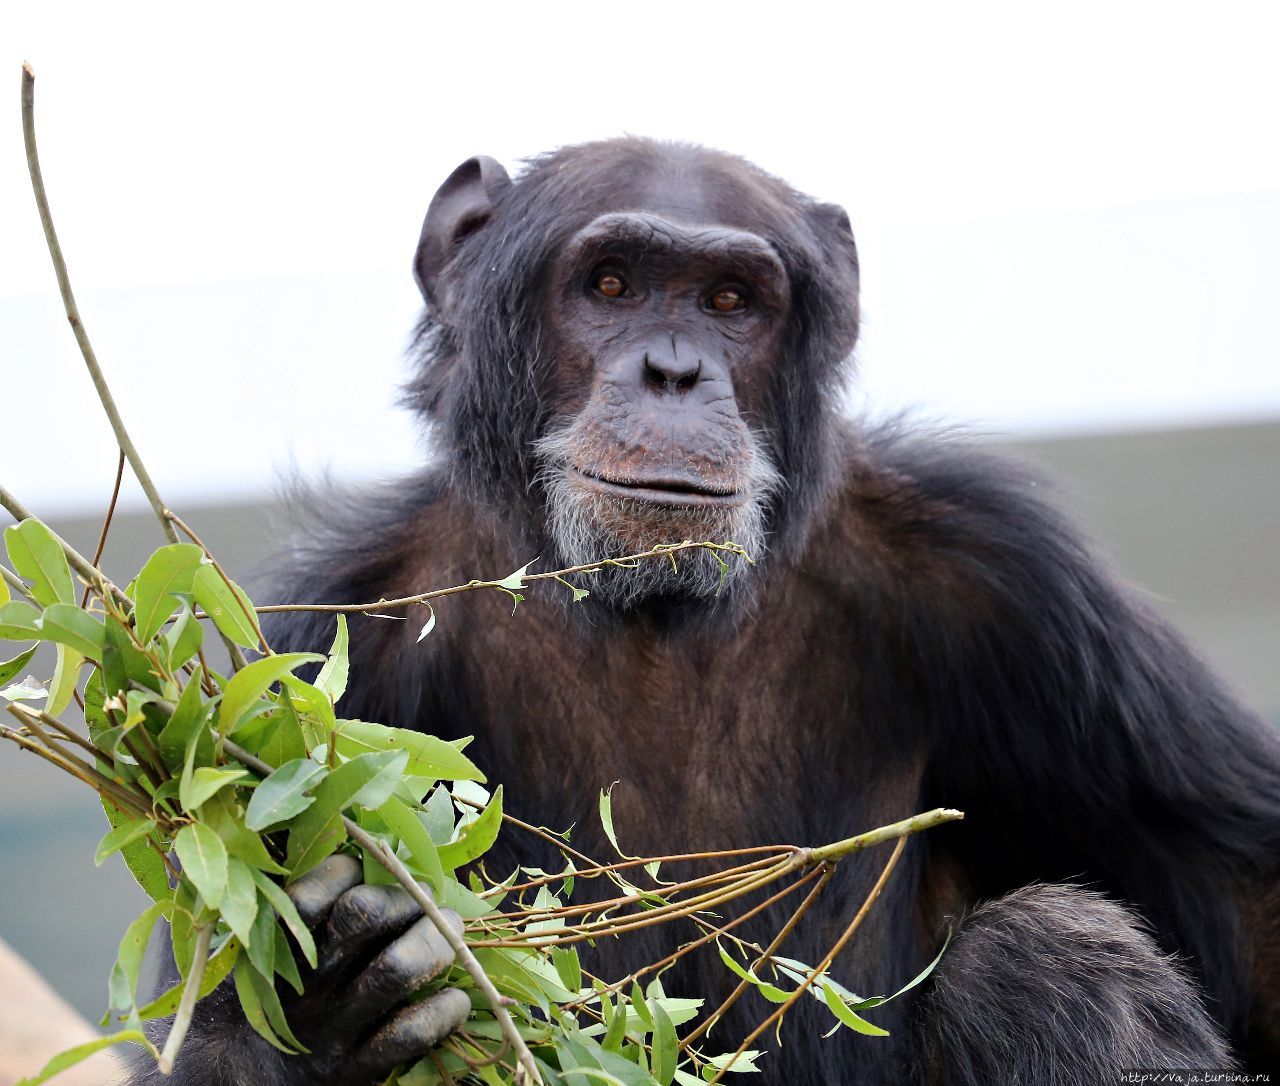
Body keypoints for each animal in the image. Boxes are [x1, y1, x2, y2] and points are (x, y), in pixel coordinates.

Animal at [132, 140, 1280, 1080]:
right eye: (609, 282)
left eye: (731, 300)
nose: (673, 371)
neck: (647, 608)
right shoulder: (299, 656)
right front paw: (338, 990)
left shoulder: (1017, 581)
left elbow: (1245, 900)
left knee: (1045, 955)